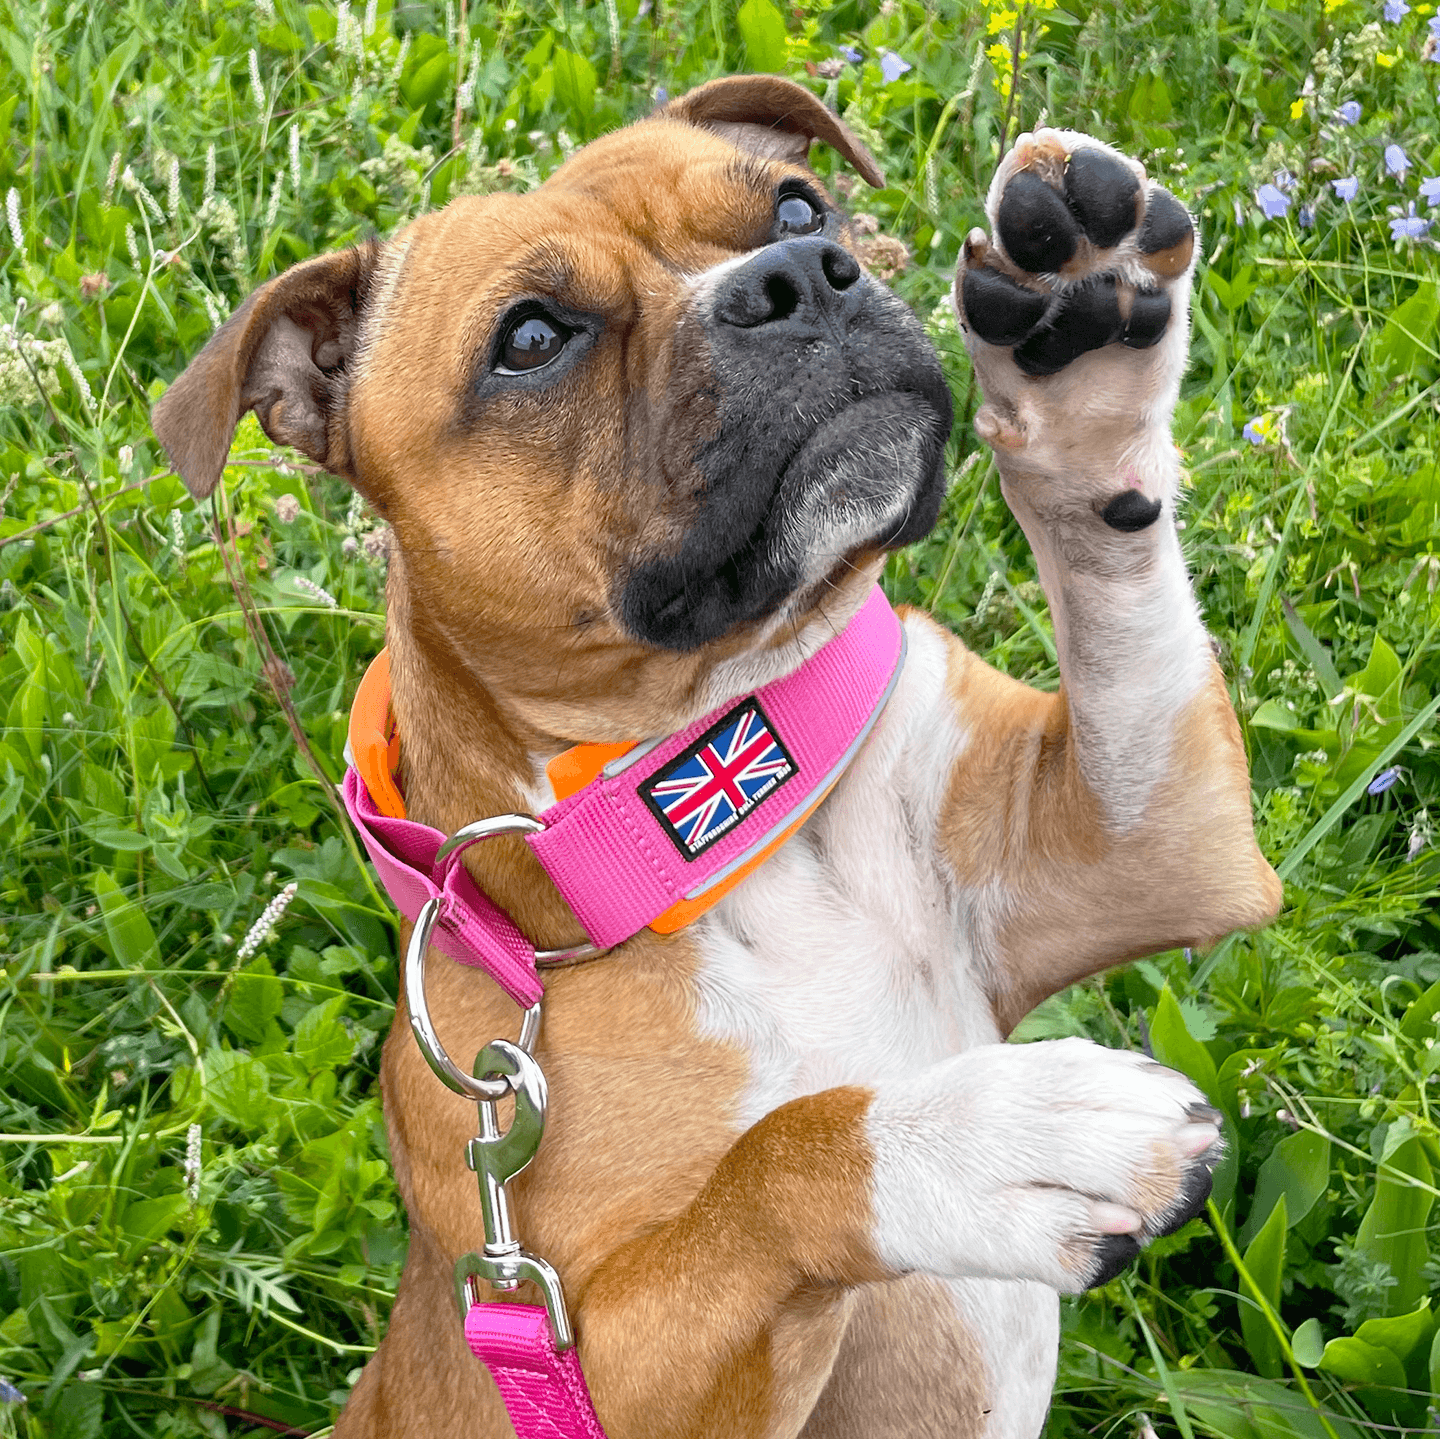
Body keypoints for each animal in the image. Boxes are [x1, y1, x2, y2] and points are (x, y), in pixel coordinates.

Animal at [154, 75, 1284, 1439]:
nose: (797, 272)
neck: (703, 822)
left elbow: (1114, 594)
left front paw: (1085, 358)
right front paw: (994, 1137)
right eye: (531, 338)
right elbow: (773, 1158)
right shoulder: (582, 1358)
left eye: (796, 205)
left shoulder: (1155, 832)